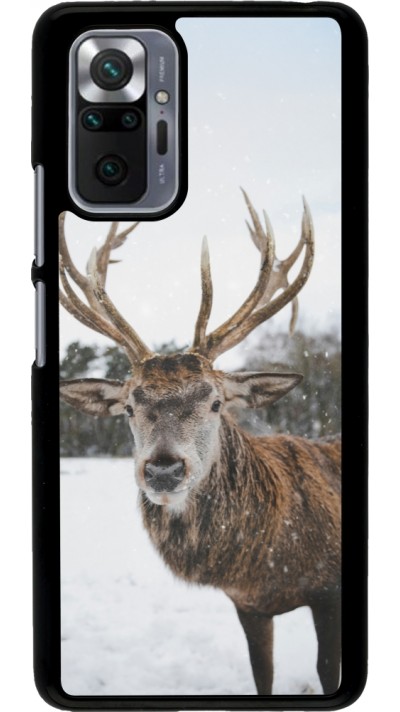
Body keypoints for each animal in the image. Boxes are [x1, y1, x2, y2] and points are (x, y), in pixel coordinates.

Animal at [59, 191, 341, 696]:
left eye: (215, 402)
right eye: (128, 407)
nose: (163, 469)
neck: (267, 564)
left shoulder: (330, 590)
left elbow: (328, 671)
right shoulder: (247, 604)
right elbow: (262, 675)